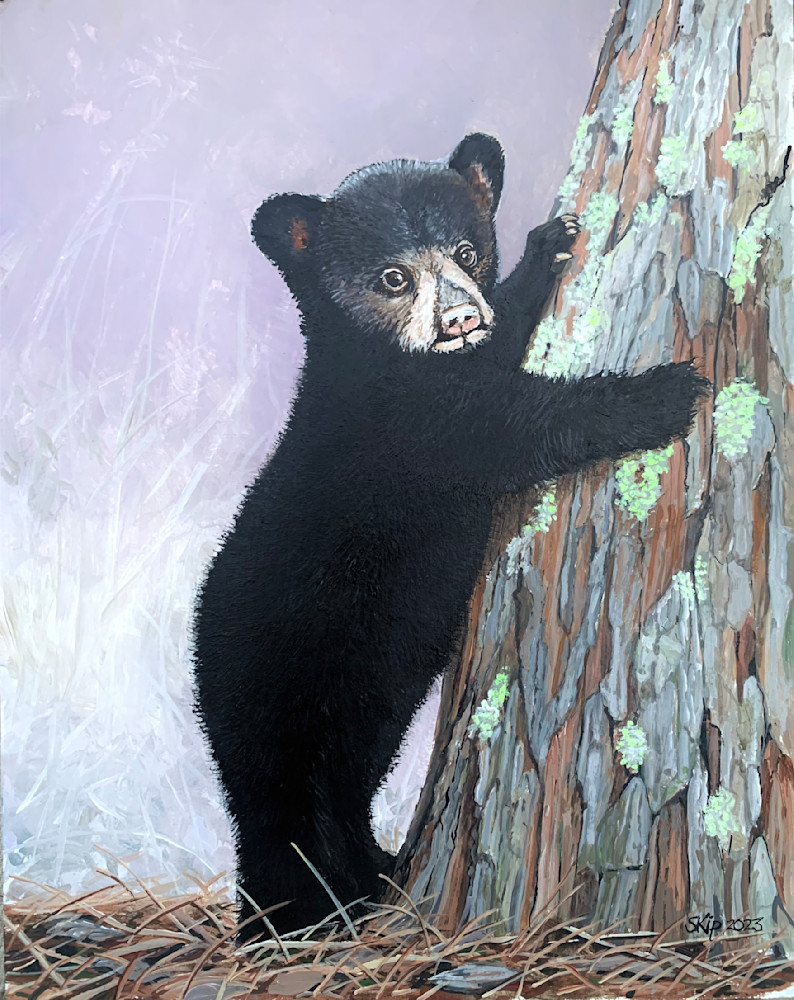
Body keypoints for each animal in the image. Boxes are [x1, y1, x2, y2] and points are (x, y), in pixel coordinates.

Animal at [193, 133, 709, 940]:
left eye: (468, 251)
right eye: (393, 277)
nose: (461, 319)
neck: (378, 366)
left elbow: (505, 351)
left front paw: (547, 248)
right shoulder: (423, 428)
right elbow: (526, 426)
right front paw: (663, 391)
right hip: (295, 702)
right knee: (300, 820)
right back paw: (320, 910)